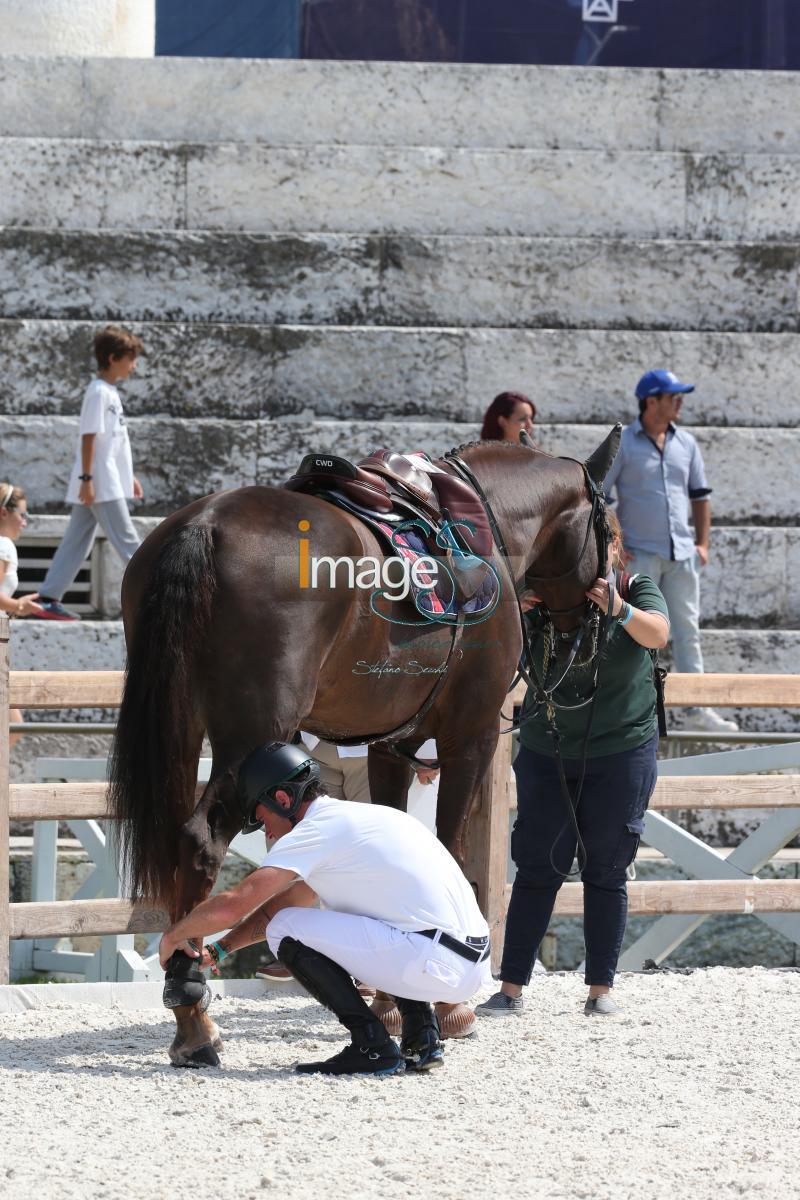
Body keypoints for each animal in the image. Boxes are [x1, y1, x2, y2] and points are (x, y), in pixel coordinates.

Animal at [107, 427, 618, 1065]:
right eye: (611, 530)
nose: (596, 623)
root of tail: (205, 524)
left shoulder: (391, 745)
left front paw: (391, 999)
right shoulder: (470, 735)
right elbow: (448, 848)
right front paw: (447, 1007)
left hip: (177, 725)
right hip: (250, 731)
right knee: (201, 840)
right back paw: (195, 1015)